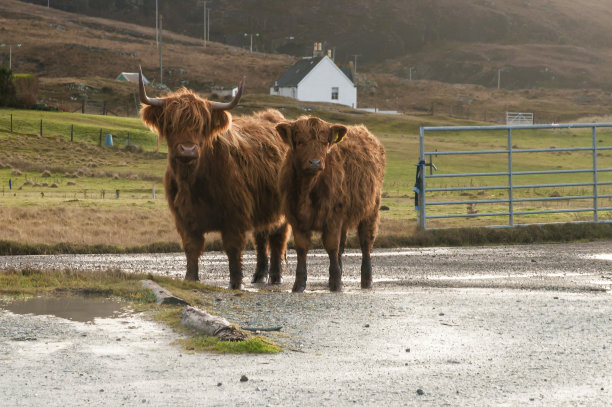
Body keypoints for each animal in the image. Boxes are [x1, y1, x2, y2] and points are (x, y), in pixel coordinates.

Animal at [139, 67, 290, 290]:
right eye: (171, 123)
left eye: (202, 126)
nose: (188, 149)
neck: (192, 182)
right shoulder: (184, 218)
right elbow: (191, 248)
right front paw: (190, 278)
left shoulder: (234, 216)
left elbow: (233, 249)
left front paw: (235, 283)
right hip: (263, 209)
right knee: (261, 239)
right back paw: (258, 276)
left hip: (283, 211)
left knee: (277, 240)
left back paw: (275, 277)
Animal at [276, 116, 384, 292]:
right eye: (300, 142)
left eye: (325, 142)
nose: (315, 162)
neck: (307, 188)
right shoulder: (297, 219)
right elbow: (302, 248)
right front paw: (299, 284)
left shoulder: (333, 217)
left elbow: (332, 246)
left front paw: (336, 283)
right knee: (342, 245)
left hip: (371, 211)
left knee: (366, 243)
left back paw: (367, 280)